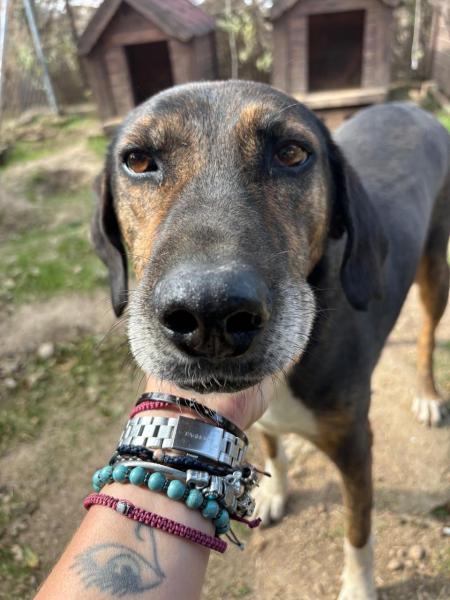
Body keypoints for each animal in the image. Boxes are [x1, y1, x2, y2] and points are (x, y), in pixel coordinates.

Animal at [92, 81, 450, 599]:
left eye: (292, 153)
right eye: (138, 161)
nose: (210, 314)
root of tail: (410, 106)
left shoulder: (357, 445)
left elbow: (358, 528)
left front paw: (358, 587)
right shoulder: (257, 417)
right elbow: (274, 449)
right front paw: (276, 492)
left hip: (435, 268)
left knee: (426, 334)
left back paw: (428, 394)